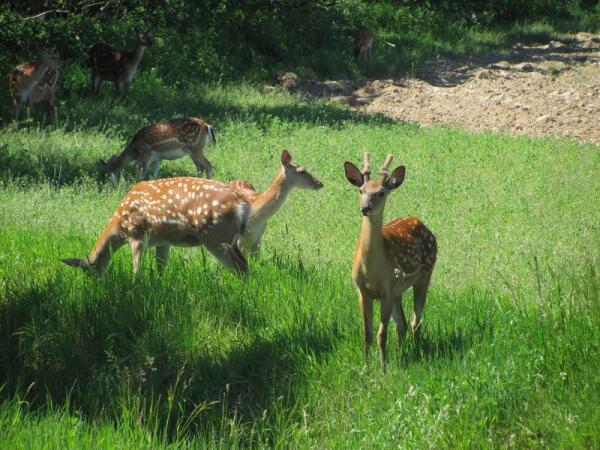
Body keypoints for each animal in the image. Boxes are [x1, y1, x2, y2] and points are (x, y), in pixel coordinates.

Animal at [64, 178, 252, 276]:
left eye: (90, 271)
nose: (99, 284)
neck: (119, 225)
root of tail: (242, 204)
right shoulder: (163, 241)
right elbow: (160, 267)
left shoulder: (137, 234)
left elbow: (137, 268)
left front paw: (135, 286)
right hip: (230, 238)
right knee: (244, 263)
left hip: (215, 236)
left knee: (240, 265)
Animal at [344, 153, 438, 370]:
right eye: (361, 190)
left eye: (381, 193)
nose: (365, 208)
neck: (371, 270)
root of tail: (420, 222)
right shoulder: (362, 291)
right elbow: (367, 334)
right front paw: (367, 367)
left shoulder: (386, 291)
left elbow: (382, 334)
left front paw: (384, 369)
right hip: (398, 289)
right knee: (402, 325)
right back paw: (400, 354)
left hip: (425, 274)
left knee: (415, 321)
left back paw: (415, 352)